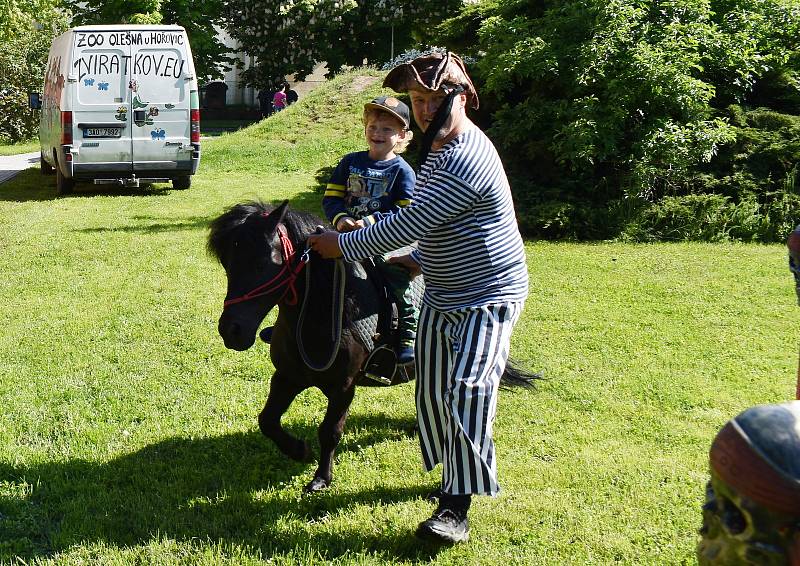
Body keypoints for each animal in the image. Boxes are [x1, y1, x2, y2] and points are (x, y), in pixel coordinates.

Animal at [206, 202, 536, 494]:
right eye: (228, 265)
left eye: (262, 263)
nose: (231, 331)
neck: (328, 309)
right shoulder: (287, 376)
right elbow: (268, 421)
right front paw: (299, 450)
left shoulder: (344, 386)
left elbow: (330, 431)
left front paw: (321, 478)